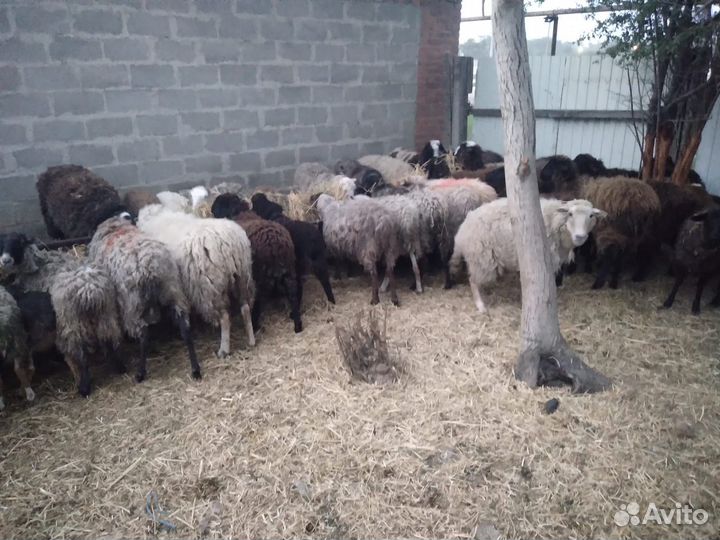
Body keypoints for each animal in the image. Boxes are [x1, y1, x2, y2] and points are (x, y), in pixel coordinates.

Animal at [50, 264, 124, 396]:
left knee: (82, 359)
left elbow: (71, 361)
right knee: (114, 340)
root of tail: (88, 289)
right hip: (107, 315)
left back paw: (84, 388)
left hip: (73, 326)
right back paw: (120, 367)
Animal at [88, 213, 201, 383]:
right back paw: (195, 369)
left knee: (144, 335)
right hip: (173, 290)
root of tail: (149, 267)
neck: (115, 227)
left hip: (133, 302)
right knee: (185, 328)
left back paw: (140, 373)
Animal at [138, 201, 256, 356]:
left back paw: (223, 349)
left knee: (224, 317)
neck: (157, 218)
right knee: (246, 307)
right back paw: (251, 340)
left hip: (209, 288)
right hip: (242, 277)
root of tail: (227, 244)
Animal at [211, 194, 302, 333]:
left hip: (260, 276)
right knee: (293, 295)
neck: (239, 213)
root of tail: (275, 243)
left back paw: (254, 325)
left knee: (259, 299)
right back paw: (297, 325)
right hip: (289, 270)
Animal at [450, 198, 604, 312]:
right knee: (473, 281)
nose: (580, 236)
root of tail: (461, 231)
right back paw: (481, 306)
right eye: (570, 214)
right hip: (481, 257)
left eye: (591, 216)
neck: (556, 221)